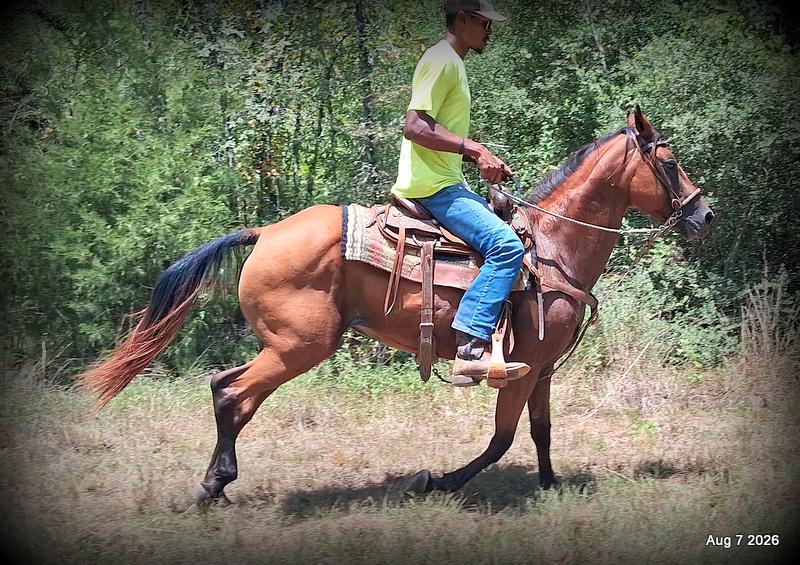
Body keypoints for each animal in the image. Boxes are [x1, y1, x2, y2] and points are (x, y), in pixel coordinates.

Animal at [80, 107, 714, 506]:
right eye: (670, 161)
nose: (705, 214)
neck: (551, 247)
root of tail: (263, 234)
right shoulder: (522, 367)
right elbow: (503, 439)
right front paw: (436, 482)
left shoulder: (541, 369)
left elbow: (541, 432)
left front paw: (551, 485)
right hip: (301, 347)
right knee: (235, 394)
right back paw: (214, 486)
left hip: (284, 346)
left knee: (224, 387)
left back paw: (217, 481)